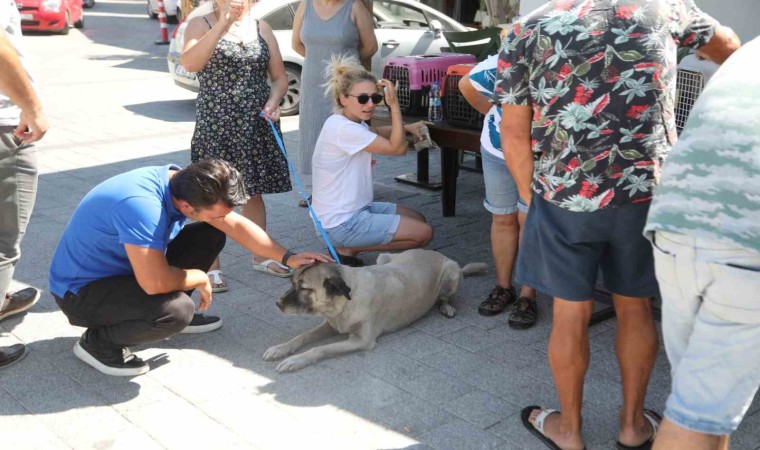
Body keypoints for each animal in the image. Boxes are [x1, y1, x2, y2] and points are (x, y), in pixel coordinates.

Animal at [262, 250, 486, 372]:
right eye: (292, 283)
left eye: (304, 288)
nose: (277, 303)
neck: (346, 300)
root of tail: (439, 254)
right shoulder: (331, 324)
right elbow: (303, 336)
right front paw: (281, 349)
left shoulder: (361, 340)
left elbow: (319, 349)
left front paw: (295, 360)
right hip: (384, 256)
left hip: (452, 273)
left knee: (446, 296)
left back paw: (446, 305)